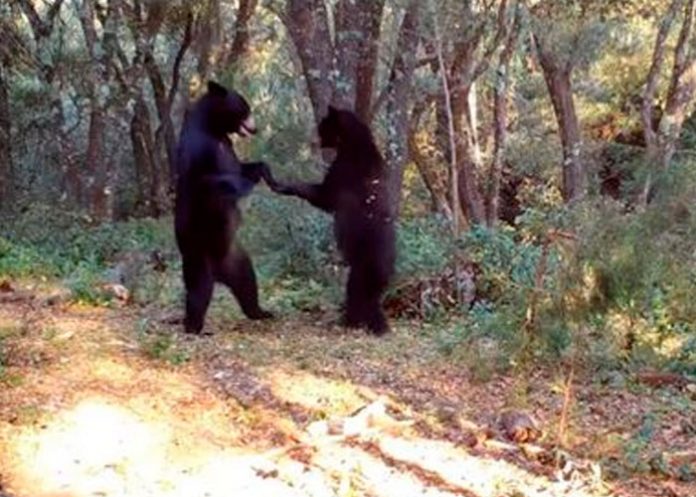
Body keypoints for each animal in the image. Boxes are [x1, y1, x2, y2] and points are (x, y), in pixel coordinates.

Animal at [174, 80, 272, 335]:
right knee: (198, 293)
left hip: (236, 258)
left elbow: (242, 167)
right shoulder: (199, 150)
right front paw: (243, 187)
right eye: (245, 108)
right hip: (198, 257)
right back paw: (194, 327)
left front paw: (264, 171)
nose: (255, 129)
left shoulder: (228, 147)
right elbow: (212, 180)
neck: (213, 129)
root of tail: (220, 272)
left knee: (247, 282)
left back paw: (261, 312)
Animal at [267, 106, 396, 335]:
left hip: (364, 262)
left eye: (322, 127)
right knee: (371, 295)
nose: (313, 141)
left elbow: (324, 196)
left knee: (357, 291)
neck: (353, 144)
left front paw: (282, 183)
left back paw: (353, 321)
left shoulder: (344, 170)